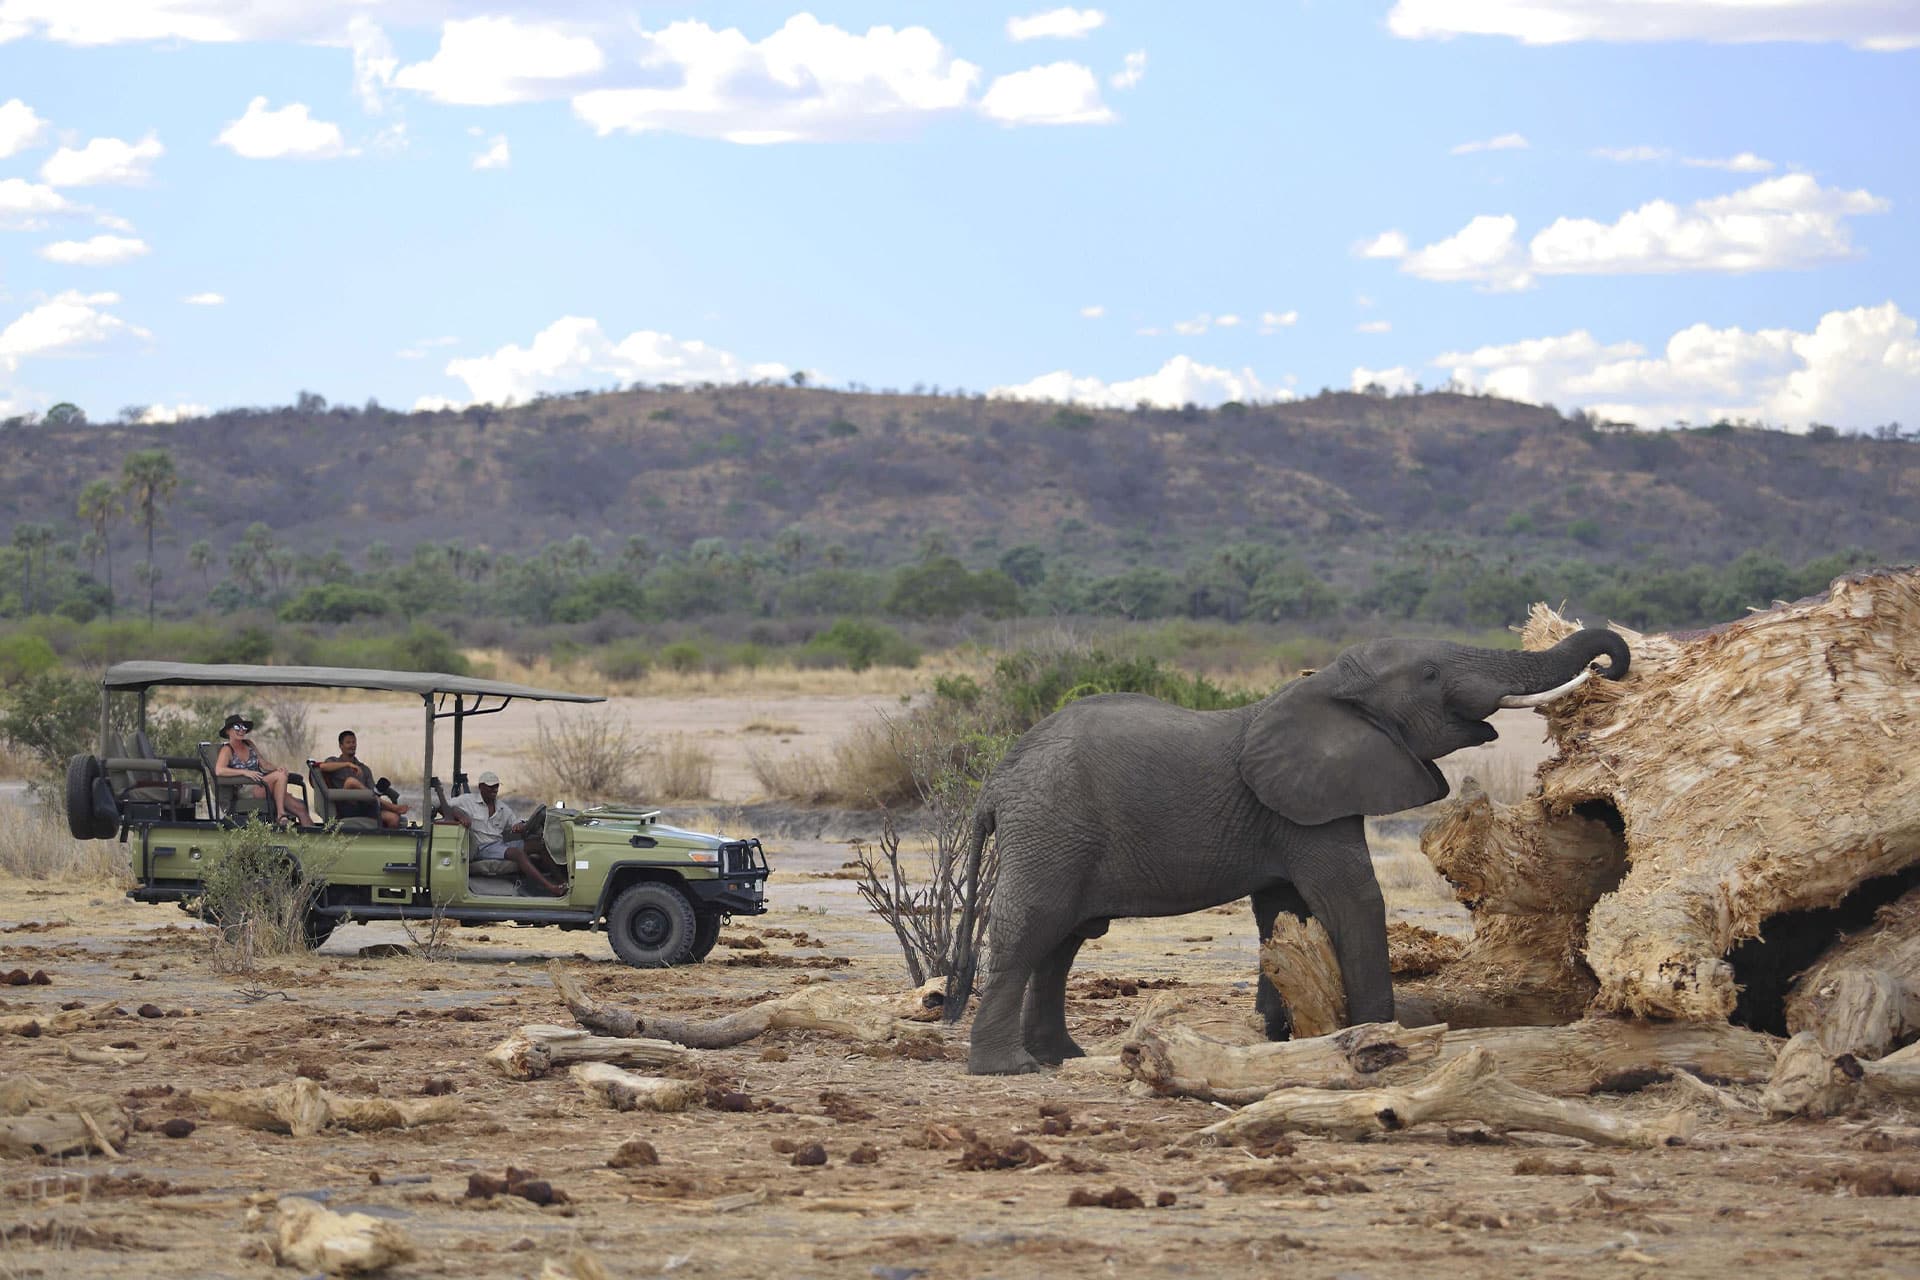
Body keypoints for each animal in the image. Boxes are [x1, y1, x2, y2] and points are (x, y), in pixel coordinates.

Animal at [950, 628, 1630, 1075]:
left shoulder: (1287, 812)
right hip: (1051, 828)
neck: (1326, 684)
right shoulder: (1307, 809)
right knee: (1032, 928)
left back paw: (1060, 1058)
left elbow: (1282, 913)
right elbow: (1351, 899)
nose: (1610, 664)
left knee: (1061, 942)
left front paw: (1279, 1038)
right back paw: (1008, 1069)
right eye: (1431, 675)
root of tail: (995, 783)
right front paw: (1380, 1042)